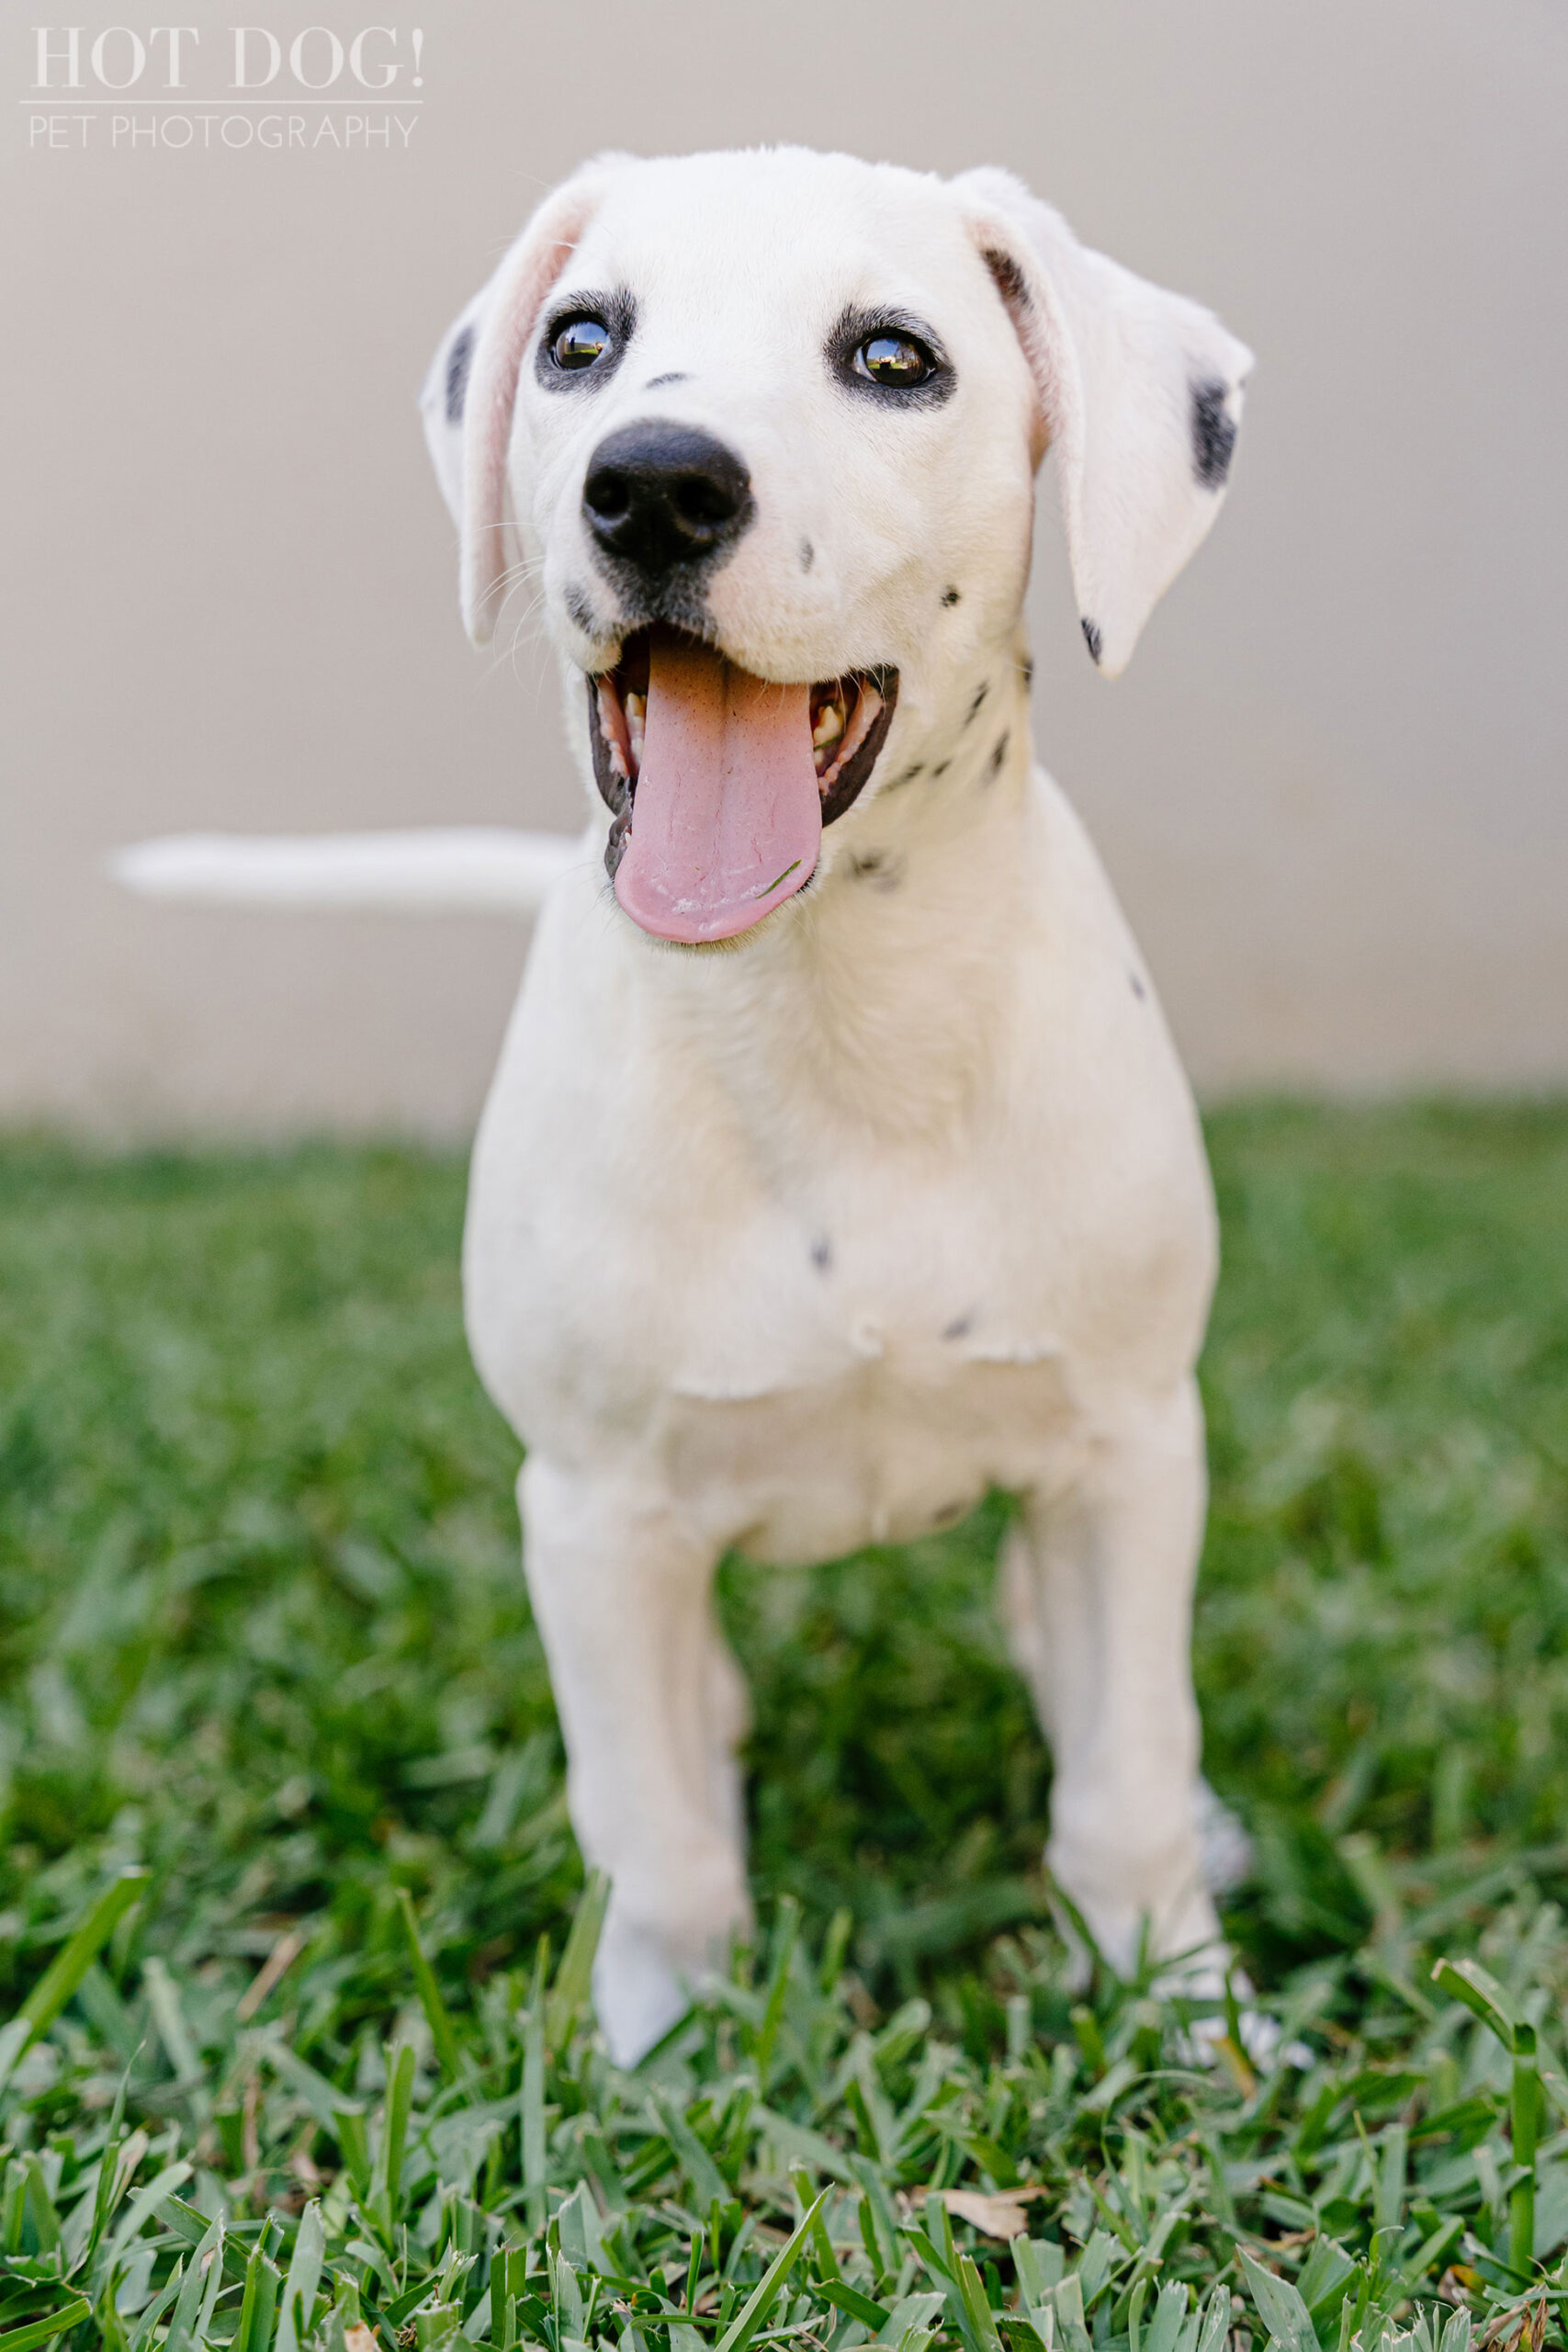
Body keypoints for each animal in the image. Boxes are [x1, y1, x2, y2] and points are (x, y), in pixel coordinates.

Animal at [122, 141, 1259, 2060]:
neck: (825, 1016)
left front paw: (1181, 2008)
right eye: (582, 339)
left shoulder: (1123, 1450)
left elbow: (1119, 1769)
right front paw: (660, 2050)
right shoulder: (592, 1510)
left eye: (892, 357)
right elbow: (650, 1828)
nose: (651, 485)